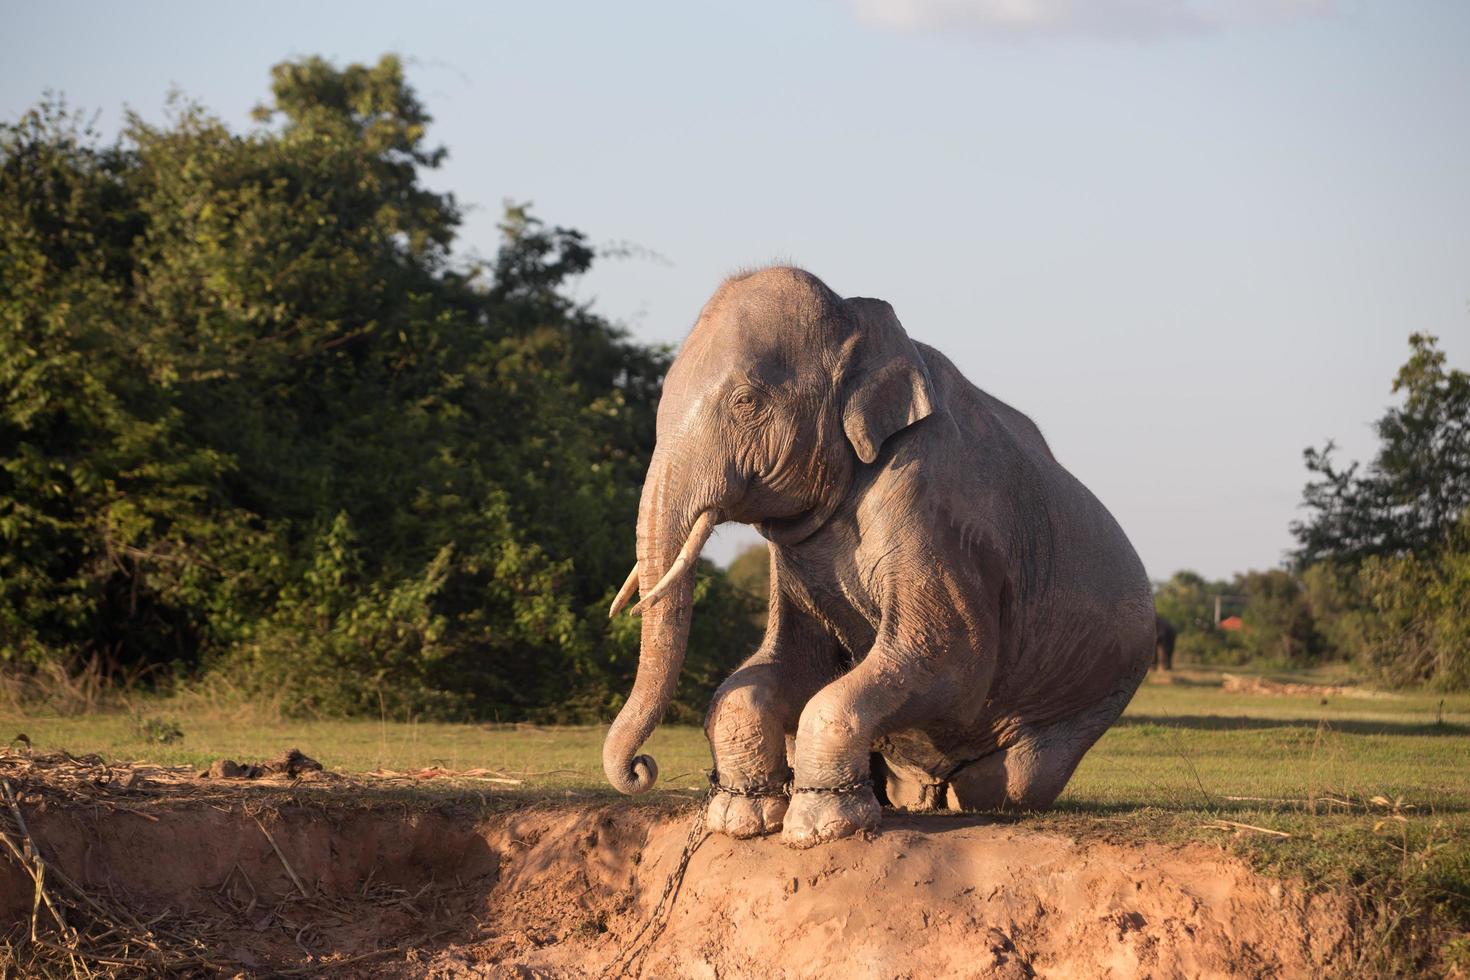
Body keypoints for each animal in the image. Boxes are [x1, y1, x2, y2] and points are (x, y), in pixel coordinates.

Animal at [602, 264, 1152, 846]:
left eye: (746, 402)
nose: (641, 767)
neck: (863, 328)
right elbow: (787, 668)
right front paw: (742, 819)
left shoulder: (931, 501)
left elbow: (954, 658)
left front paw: (821, 827)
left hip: (1093, 697)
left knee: (1004, 780)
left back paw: (945, 798)